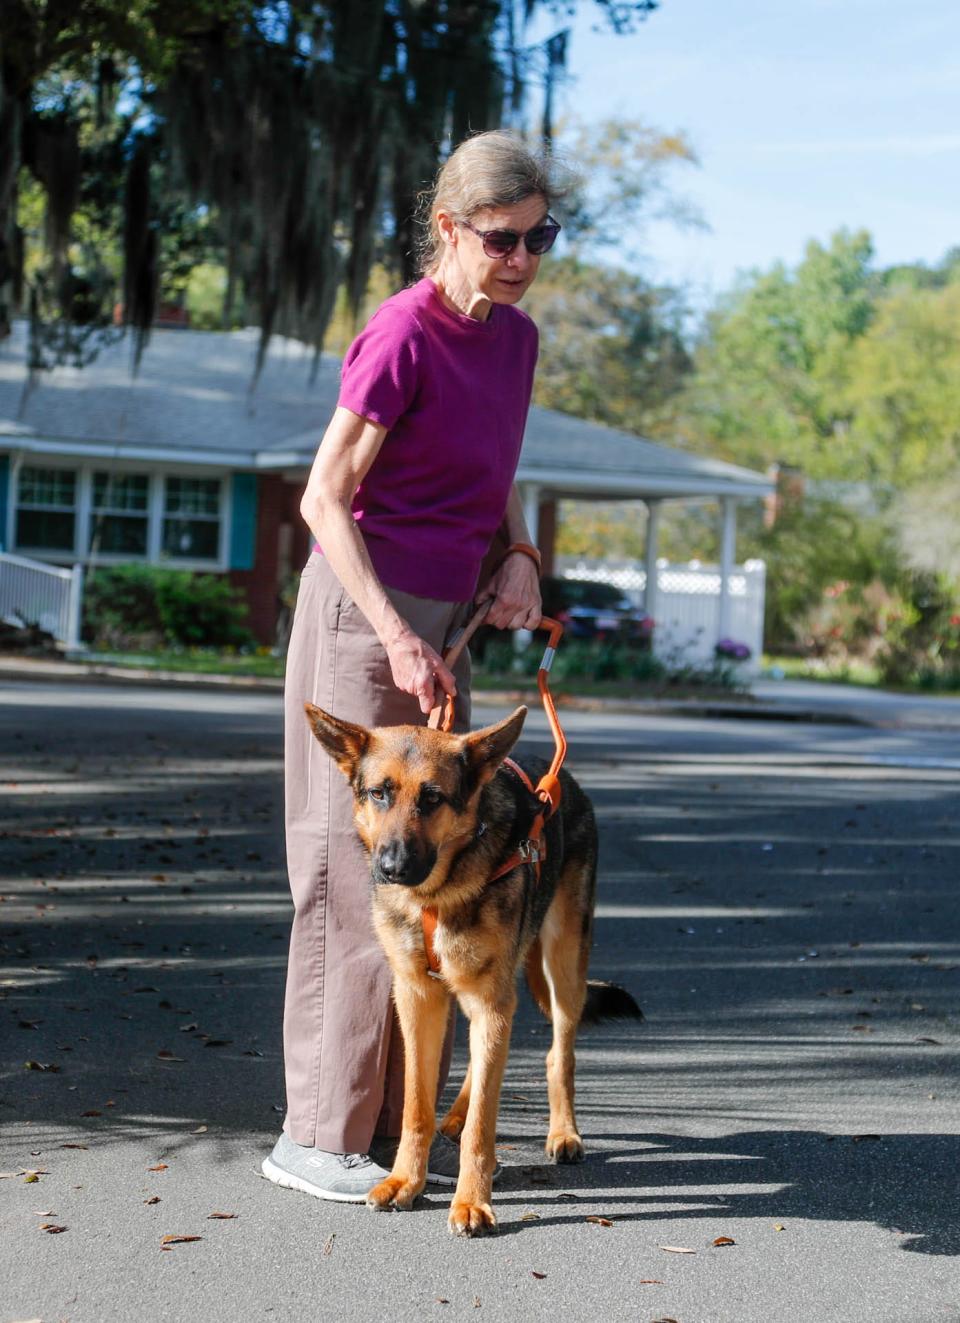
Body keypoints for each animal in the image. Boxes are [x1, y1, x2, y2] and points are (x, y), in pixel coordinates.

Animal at [304, 709, 642, 1233]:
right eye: (379, 793)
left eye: (432, 798)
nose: (392, 867)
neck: (436, 894)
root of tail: (565, 781)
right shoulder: (419, 999)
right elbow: (416, 1107)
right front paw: (407, 1180)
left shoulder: (489, 1002)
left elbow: (484, 1125)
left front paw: (471, 1201)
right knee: (482, 1066)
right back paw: (456, 1116)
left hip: (563, 966)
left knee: (558, 1055)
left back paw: (564, 1132)